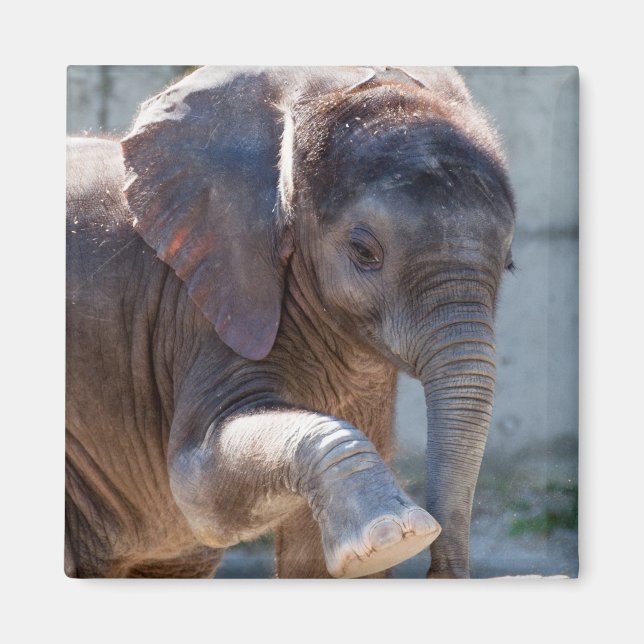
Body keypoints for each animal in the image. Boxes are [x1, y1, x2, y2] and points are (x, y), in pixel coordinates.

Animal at [65, 66, 515, 579]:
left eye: (510, 263)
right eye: (364, 251)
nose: (439, 571)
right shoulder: (206, 307)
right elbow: (198, 488)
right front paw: (394, 537)